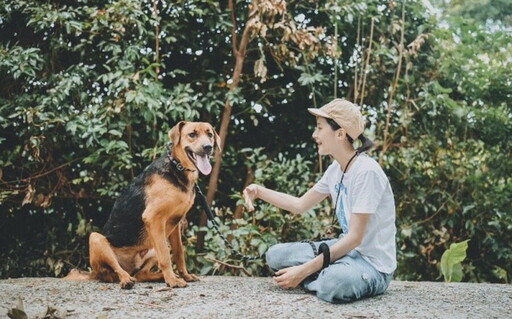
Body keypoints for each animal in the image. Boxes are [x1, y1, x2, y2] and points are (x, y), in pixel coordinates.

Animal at [65, 120, 221, 290]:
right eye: (192, 134)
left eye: (210, 134)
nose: (208, 147)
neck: (177, 168)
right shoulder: (153, 218)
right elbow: (165, 257)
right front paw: (172, 281)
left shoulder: (176, 223)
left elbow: (179, 253)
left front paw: (184, 275)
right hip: (97, 239)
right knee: (115, 270)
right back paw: (127, 280)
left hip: (151, 247)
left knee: (141, 274)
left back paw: (159, 276)